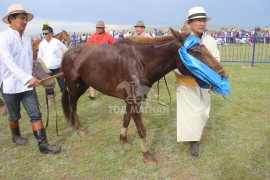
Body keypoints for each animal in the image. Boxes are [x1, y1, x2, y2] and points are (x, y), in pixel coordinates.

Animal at [60, 27, 227, 163]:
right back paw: (79, 128)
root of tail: (68, 52)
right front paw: (146, 154)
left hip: (84, 84)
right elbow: (141, 130)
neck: (140, 61)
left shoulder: (130, 100)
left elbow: (126, 119)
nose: (223, 75)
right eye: (196, 52)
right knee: (73, 104)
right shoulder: (134, 101)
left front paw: (124, 140)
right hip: (72, 84)